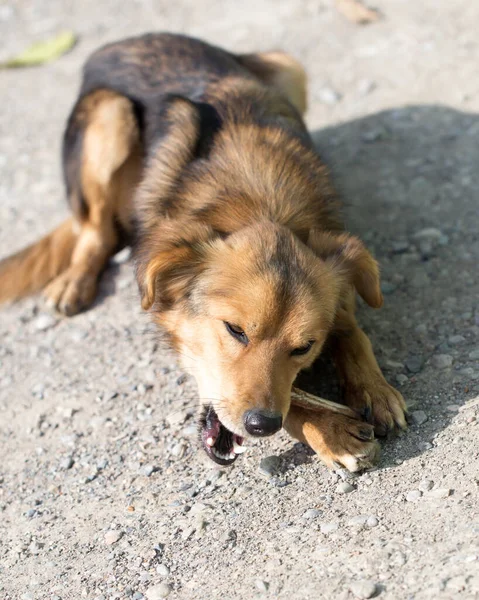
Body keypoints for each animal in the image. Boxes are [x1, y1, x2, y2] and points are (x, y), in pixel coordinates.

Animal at [0, 34, 408, 474]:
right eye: (235, 330)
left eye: (303, 347)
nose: (262, 424)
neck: (260, 204)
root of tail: (134, 39)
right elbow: (280, 401)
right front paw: (329, 427)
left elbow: (349, 328)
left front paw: (373, 387)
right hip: (110, 114)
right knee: (95, 228)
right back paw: (75, 280)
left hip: (288, 67)